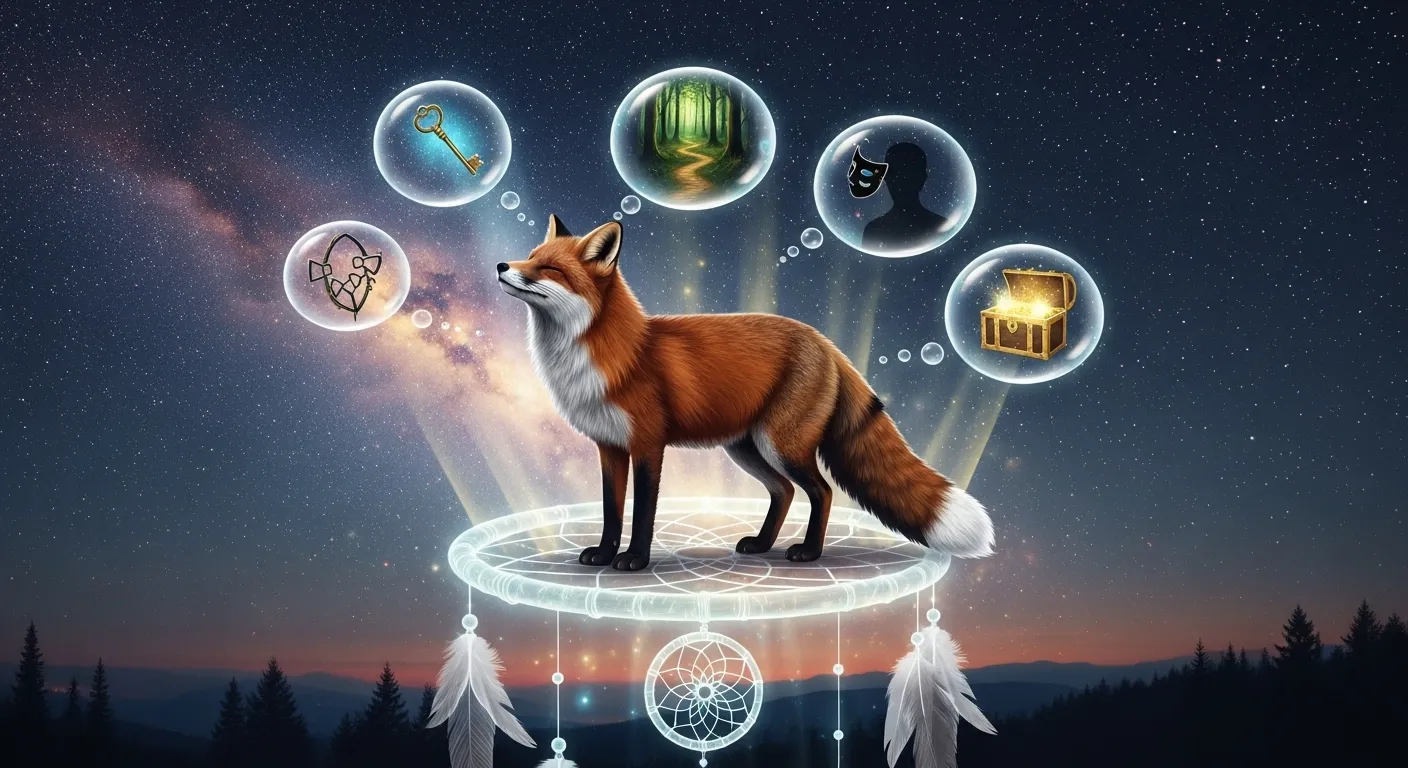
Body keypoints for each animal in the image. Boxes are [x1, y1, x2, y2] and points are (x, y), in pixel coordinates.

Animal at [496, 215, 994, 571]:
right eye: (530, 256)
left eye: (548, 268)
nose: (502, 266)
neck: (611, 353)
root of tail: (825, 342)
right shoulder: (609, 447)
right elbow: (611, 511)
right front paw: (602, 553)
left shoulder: (648, 445)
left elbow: (642, 514)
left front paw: (634, 559)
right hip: (747, 449)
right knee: (785, 492)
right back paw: (761, 542)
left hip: (782, 445)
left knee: (821, 491)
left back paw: (808, 552)